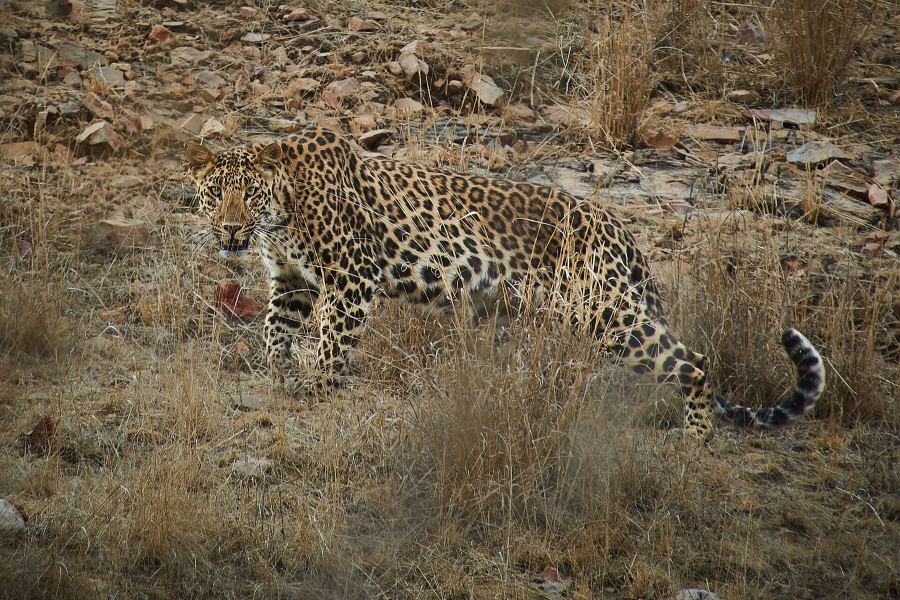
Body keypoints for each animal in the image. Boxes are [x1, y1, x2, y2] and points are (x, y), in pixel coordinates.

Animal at [186, 126, 825, 442]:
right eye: (216, 194)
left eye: (249, 193)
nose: (231, 230)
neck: (283, 211)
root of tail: (621, 228)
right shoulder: (291, 280)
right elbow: (275, 330)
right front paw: (276, 375)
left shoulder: (350, 277)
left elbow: (331, 342)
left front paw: (316, 386)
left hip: (605, 310)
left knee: (692, 361)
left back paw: (696, 444)